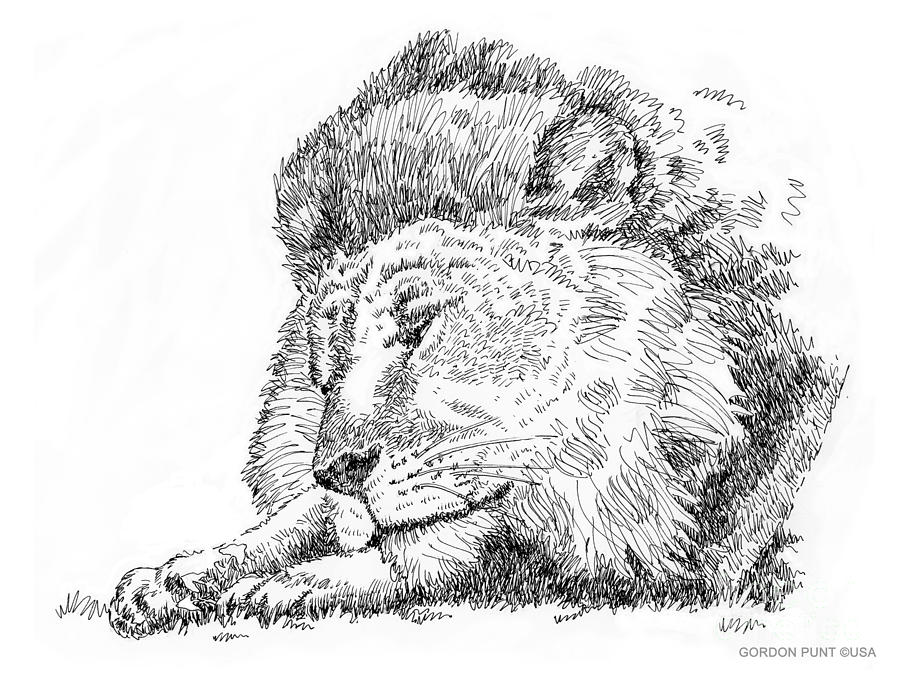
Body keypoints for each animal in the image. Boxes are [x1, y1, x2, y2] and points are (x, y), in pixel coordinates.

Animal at [108, 32, 844, 637]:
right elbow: (302, 521)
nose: (336, 468)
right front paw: (178, 578)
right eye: (328, 362)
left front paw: (290, 585)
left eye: (419, 324)